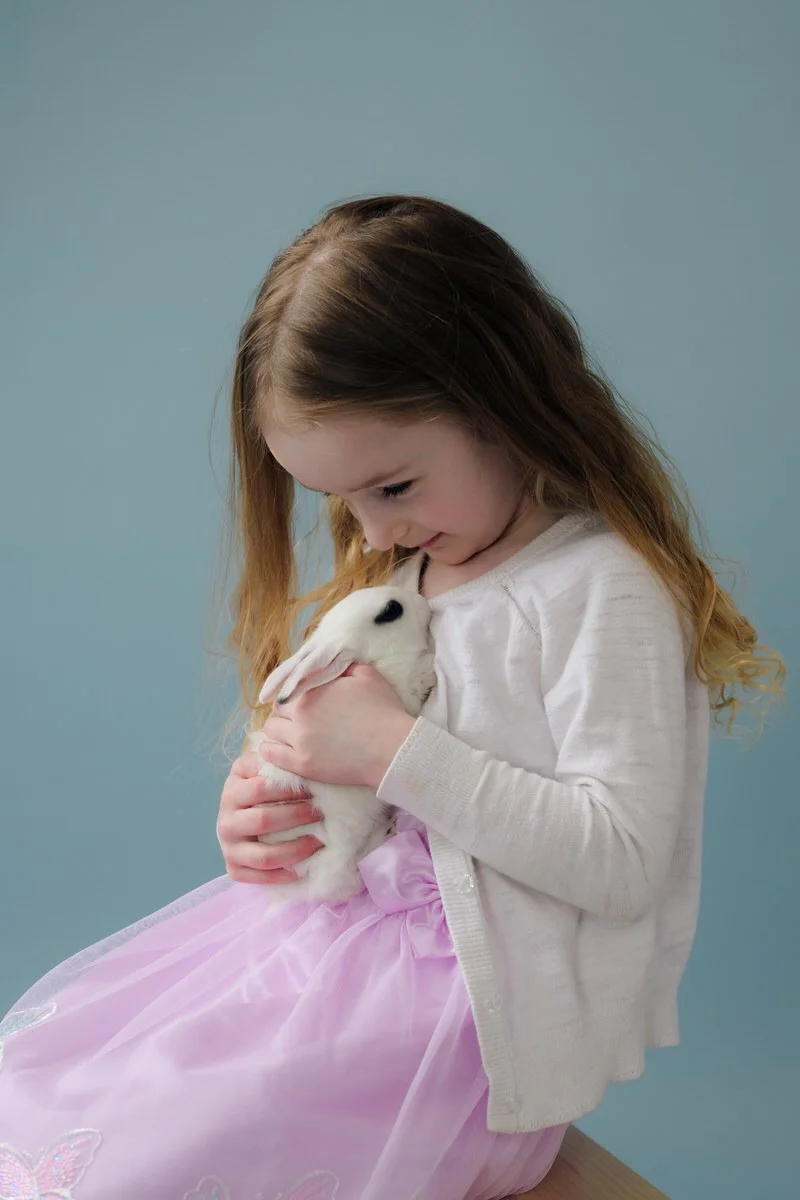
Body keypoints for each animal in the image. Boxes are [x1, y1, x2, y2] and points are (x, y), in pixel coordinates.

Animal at [246, 585, 436, 905]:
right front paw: (429, 671)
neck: (377, 660)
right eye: (391, 610)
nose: (422, 600)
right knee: (340, 883)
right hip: (336, 852)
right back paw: (384, 833)